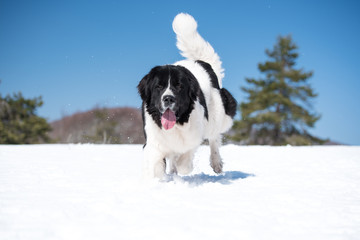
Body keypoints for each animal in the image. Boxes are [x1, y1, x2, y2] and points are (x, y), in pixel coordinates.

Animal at [137, 12, 236, 178]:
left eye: (179, 86)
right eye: (158, 86)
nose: (168, 98)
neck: (177, 124)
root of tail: (202, 62)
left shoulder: (194, 134)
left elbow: (185, 158)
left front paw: (182, 166)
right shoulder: (153, 141)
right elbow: (156, 165)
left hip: (219, 112)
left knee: (214, 137)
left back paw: (216, 163)